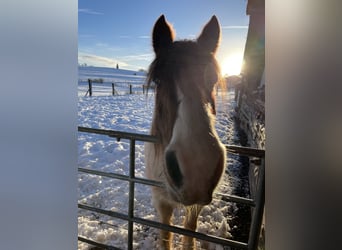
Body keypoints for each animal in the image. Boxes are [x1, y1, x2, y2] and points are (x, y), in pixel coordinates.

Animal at [145, 15, 227, 250]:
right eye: (158, 81)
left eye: (213, 80)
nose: (198, 166)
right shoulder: (161, 201)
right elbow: (165, 234)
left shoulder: (197, 205)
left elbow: (189, 231)